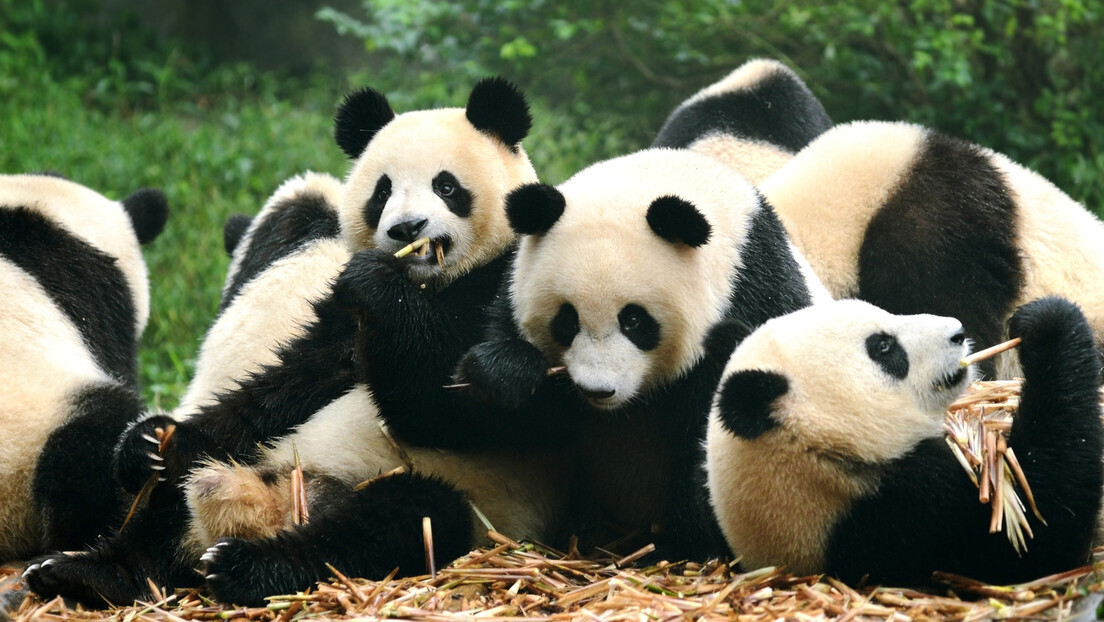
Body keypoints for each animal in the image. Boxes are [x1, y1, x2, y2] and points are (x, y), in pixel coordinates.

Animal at [24, 77, 552, 607]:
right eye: (382, 191)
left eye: (446, 186)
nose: (407, 229)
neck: (430, 282)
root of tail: (279, 499)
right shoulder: (335, 328)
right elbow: (283, 388)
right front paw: (148, 439)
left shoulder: (502, 289)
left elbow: (447, 407)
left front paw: (378, 286)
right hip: (258, 459)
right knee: (172, 501)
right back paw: (87, 571)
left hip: (466, 495)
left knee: (392, 523)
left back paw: (248, 567)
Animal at [454, 148, 827, 558]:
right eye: (566, 320)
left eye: (634, 320)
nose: (598, 390)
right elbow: (508, 427)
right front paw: (505, 374)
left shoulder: (752, 296)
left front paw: (686, 543)